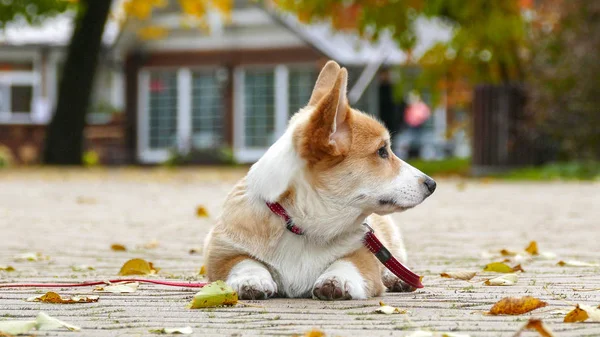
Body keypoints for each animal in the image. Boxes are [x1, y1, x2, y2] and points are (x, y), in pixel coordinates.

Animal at [203, 60, 436, 300]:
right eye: (382, 151)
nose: (431, 184)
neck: (302, 225)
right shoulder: (220, 251)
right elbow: (244, 262)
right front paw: (251, 280)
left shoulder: (363, 253)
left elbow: (347, 263)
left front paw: (335, 280)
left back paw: (396, 278)